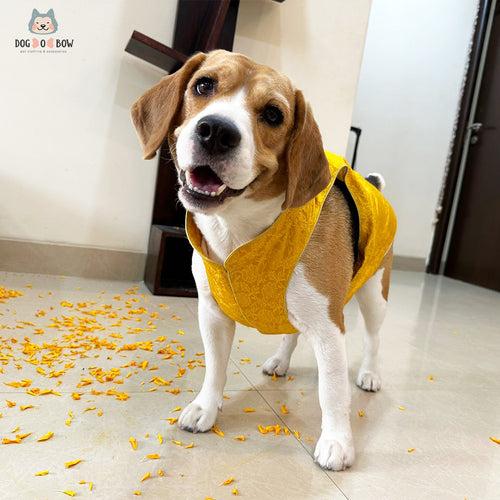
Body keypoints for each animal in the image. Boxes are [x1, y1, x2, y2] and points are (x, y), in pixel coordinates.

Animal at [132, 50, 394, 472]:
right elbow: (216, 368)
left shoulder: (329, 327)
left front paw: (337, 441)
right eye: (203, 85)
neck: (241, 229)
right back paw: (281, 361)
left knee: (372, 338)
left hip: (373, 295)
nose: (216, 131)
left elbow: (333, 392)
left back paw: (369, 374)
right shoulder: (213, 314)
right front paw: (206, 408)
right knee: (291, 333)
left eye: (273, 114)